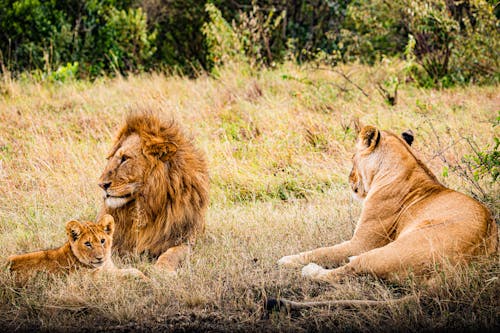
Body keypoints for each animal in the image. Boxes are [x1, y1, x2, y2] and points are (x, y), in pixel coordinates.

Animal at [97, 110, 209, 272]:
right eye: (110, 158)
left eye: (125, 158)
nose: (101, 184)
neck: (143, 206)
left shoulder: (186, 238)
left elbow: (172, 253)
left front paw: (162, 270)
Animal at [280, 126, 498, 284]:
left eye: (352, 158)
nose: (349, 178)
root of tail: (458, 269)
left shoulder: (362, 243)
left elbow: (323, 251)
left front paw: (288, 259)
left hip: (387, 251)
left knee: (348, 270)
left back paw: (310, 270)